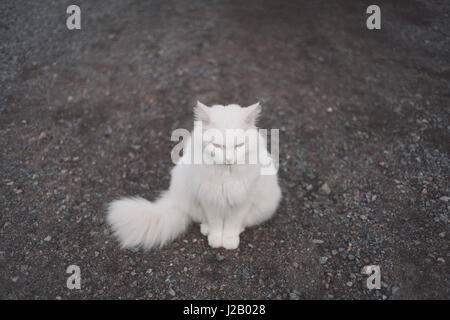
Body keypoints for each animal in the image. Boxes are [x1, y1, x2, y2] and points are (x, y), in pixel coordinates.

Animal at [106, 101, 282, 249]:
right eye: (217, 145)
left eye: (239, 145)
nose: (229, 159)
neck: (225, 175)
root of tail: (173, 199)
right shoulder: (209, 200)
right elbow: (216, 223)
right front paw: (216, 240)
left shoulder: (241, 201)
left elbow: (232, 224)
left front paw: (229, 241)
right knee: (202, 220)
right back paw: (206, 230)